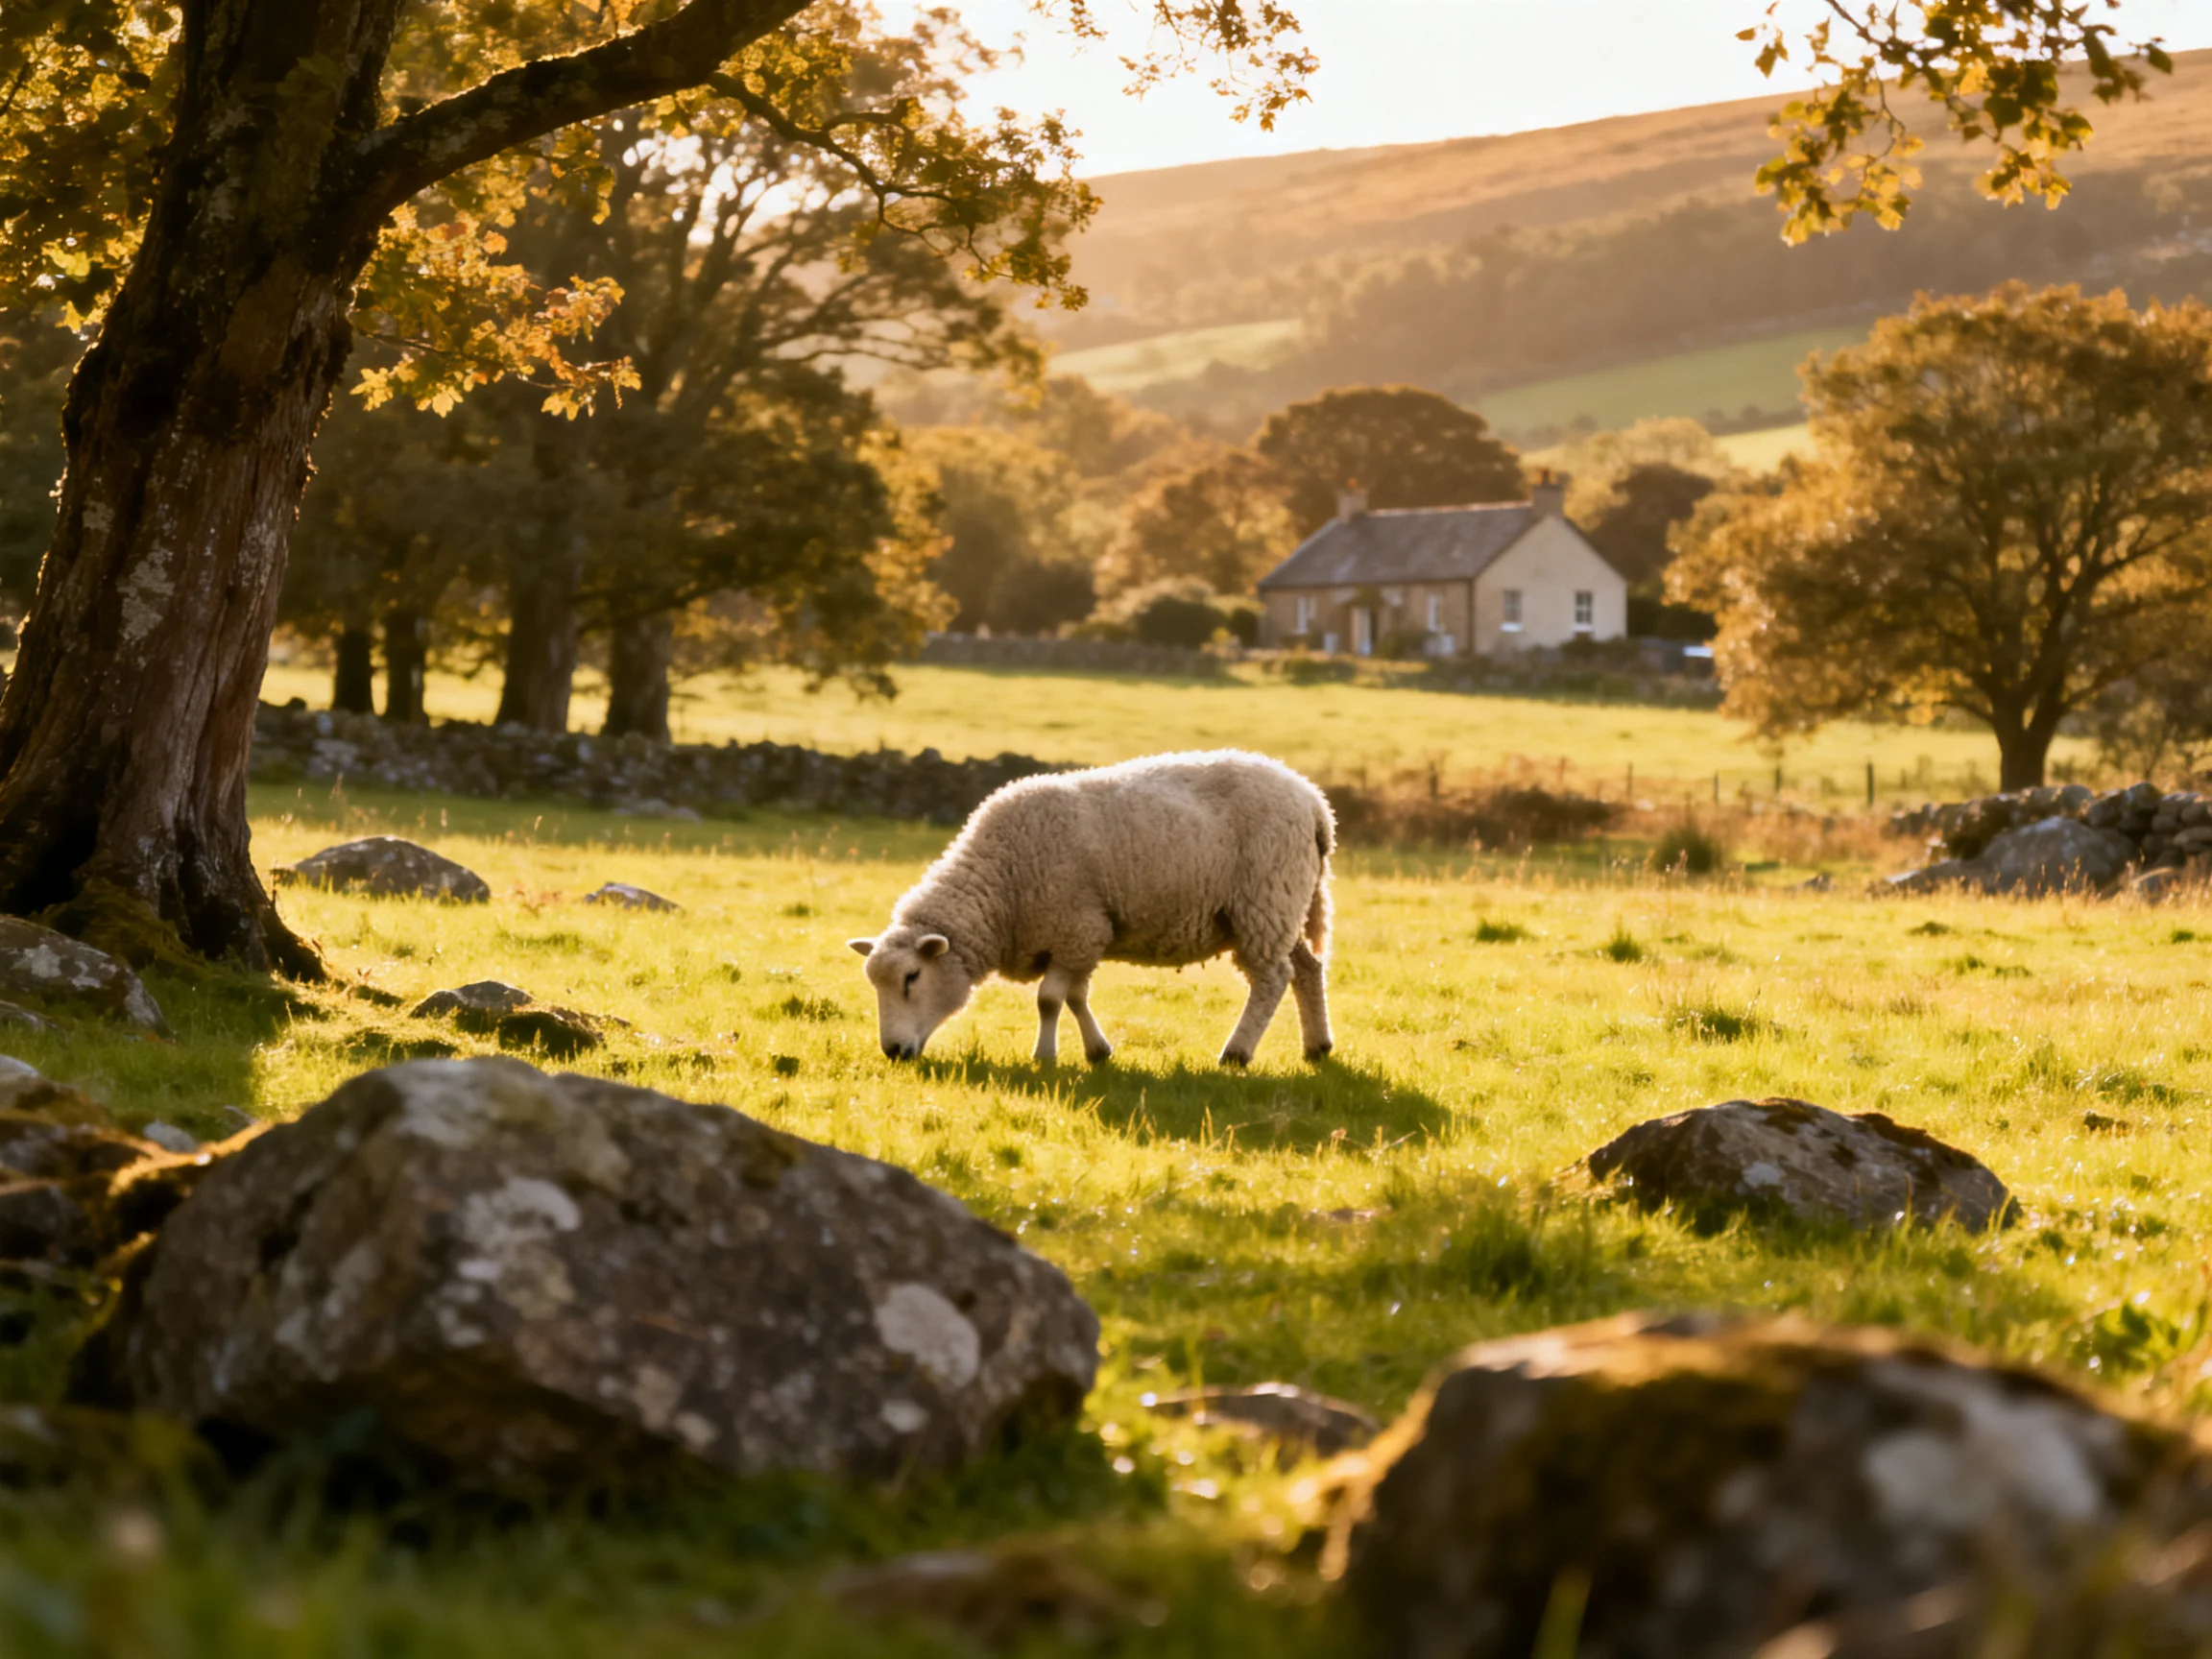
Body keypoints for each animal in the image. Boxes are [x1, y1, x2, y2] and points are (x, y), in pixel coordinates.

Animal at [850, 750, 1335, 1068]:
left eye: (912, 977)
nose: (892, 1052)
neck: (1002, 882)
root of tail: (1313, 799)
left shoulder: (1076, 928)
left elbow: (1049, 1000)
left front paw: (1045, 1056)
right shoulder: (1083, 937)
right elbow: (1075, 997)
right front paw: (1098, 1051)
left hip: (1265, 900)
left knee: (1272, 980)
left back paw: (1237, 1053)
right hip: (1283, 904)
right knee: (1308, 969)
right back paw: (1317, 1046)